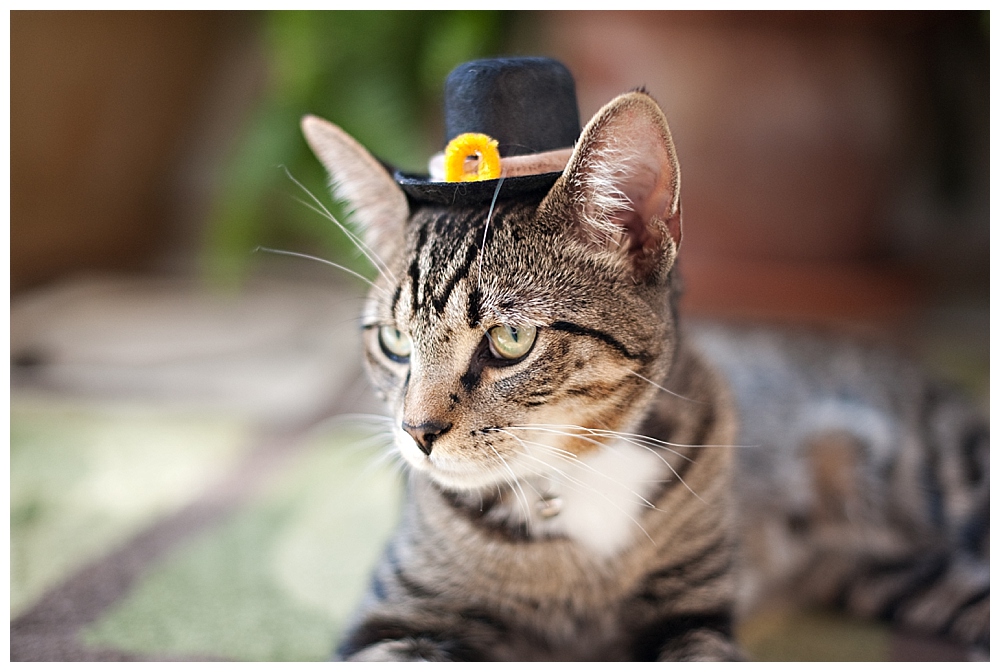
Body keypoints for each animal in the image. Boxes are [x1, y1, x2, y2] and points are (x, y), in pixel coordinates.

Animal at [300, 85, 988, 660]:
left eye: (510, 339)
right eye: (394, 341)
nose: (416, 433)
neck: (573, 477)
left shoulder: (695, 612)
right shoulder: (397, 615)